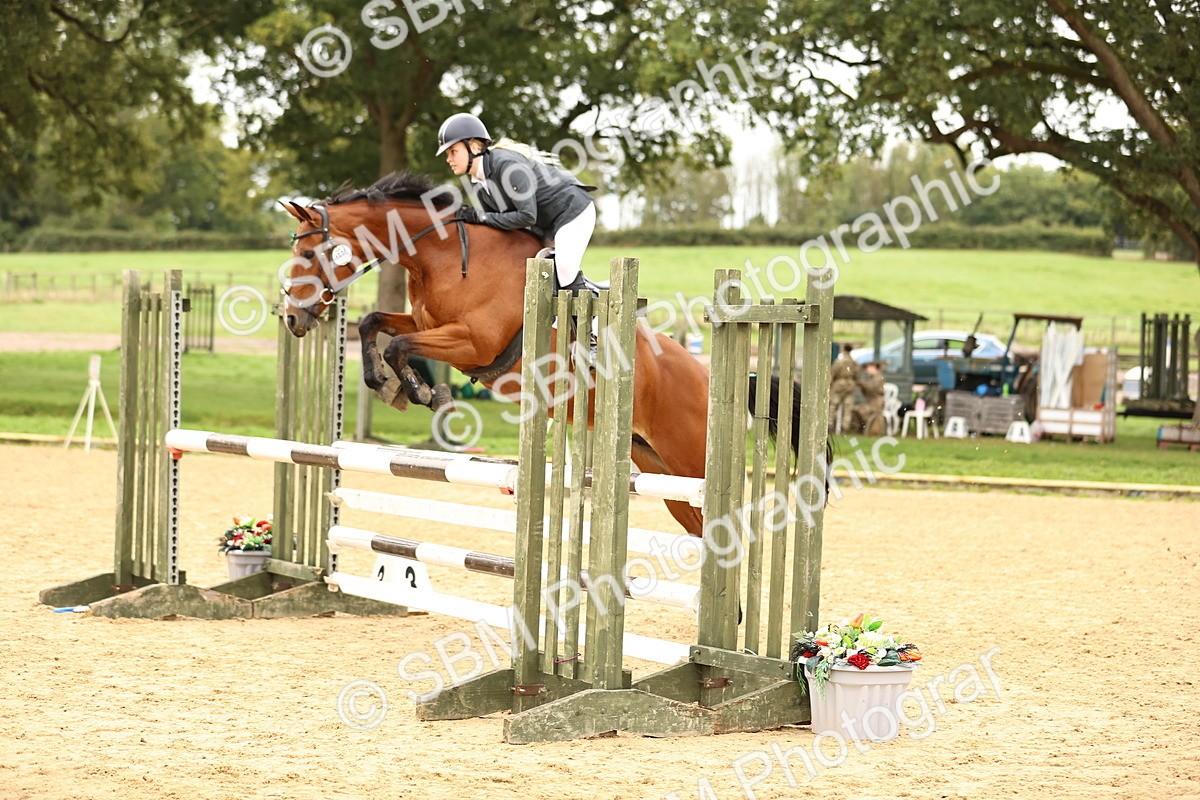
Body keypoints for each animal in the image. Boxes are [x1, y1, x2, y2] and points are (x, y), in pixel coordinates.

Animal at [280, 171, 803, 536]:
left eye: (308, 255)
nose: (289, 317)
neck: (441, 256)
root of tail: (712, 379)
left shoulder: (472, 341)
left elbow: (400, 346)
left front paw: (425, 394)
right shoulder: (432, 327)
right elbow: (375, 325)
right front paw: (391, 388)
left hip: (691, 461)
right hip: (658, 466)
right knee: (697, 524)